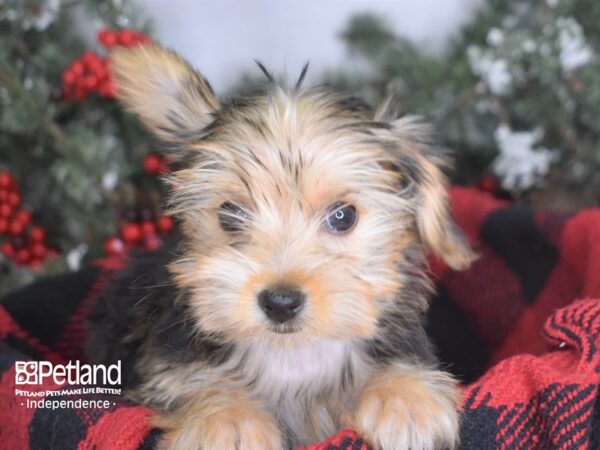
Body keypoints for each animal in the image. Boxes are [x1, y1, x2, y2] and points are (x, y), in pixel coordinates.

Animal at [86, 43, 476, 450]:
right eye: (230, 213)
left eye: (343, 216)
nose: (281, 302)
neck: (294, 356)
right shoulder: (165, 361)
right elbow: (192, 382)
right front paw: (227, 418)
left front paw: (403, 396)